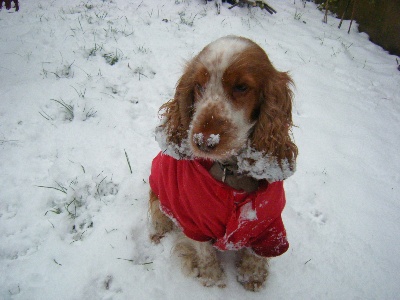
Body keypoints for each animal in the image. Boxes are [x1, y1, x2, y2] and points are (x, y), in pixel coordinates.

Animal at [148, 35, 296, 290]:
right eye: (198, 86)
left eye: (241, 87)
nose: (203, 141)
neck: (231, 173)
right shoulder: (194, 221)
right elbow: (205, 252)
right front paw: (213, 278)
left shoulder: (269, 225)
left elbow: (257, 254)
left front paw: (252, 277)